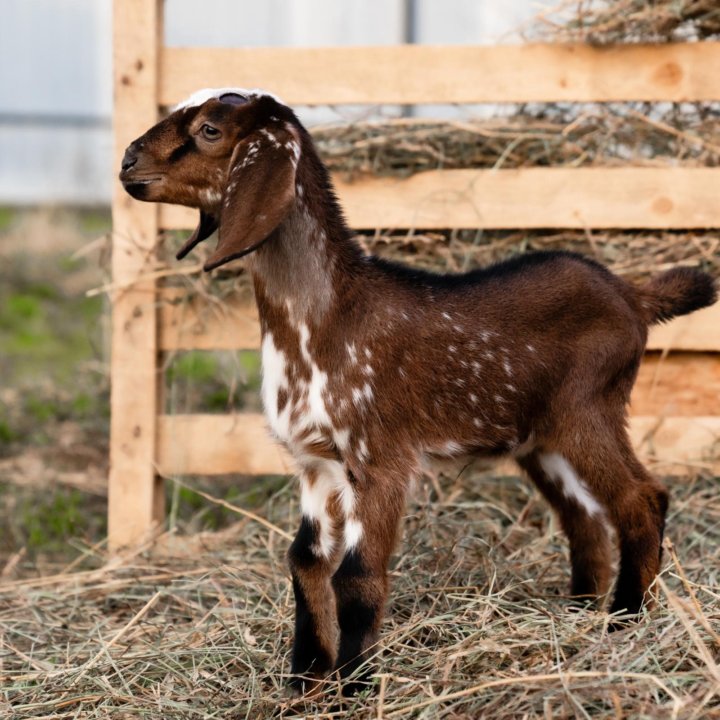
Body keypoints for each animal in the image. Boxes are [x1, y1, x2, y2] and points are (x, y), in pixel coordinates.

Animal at [119, 87, 716, 696]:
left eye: (210, 129)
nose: (127, 161)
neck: (328, 320)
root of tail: (633, 294)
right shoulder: (315, 465)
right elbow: (304, 561)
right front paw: (306, 680)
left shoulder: (380, 459)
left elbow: (357, 577)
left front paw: (354, 687)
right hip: (541, 439)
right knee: (584, 516)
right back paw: (578, 614)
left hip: (589, 410)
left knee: (642, 498)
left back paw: (626, 620)